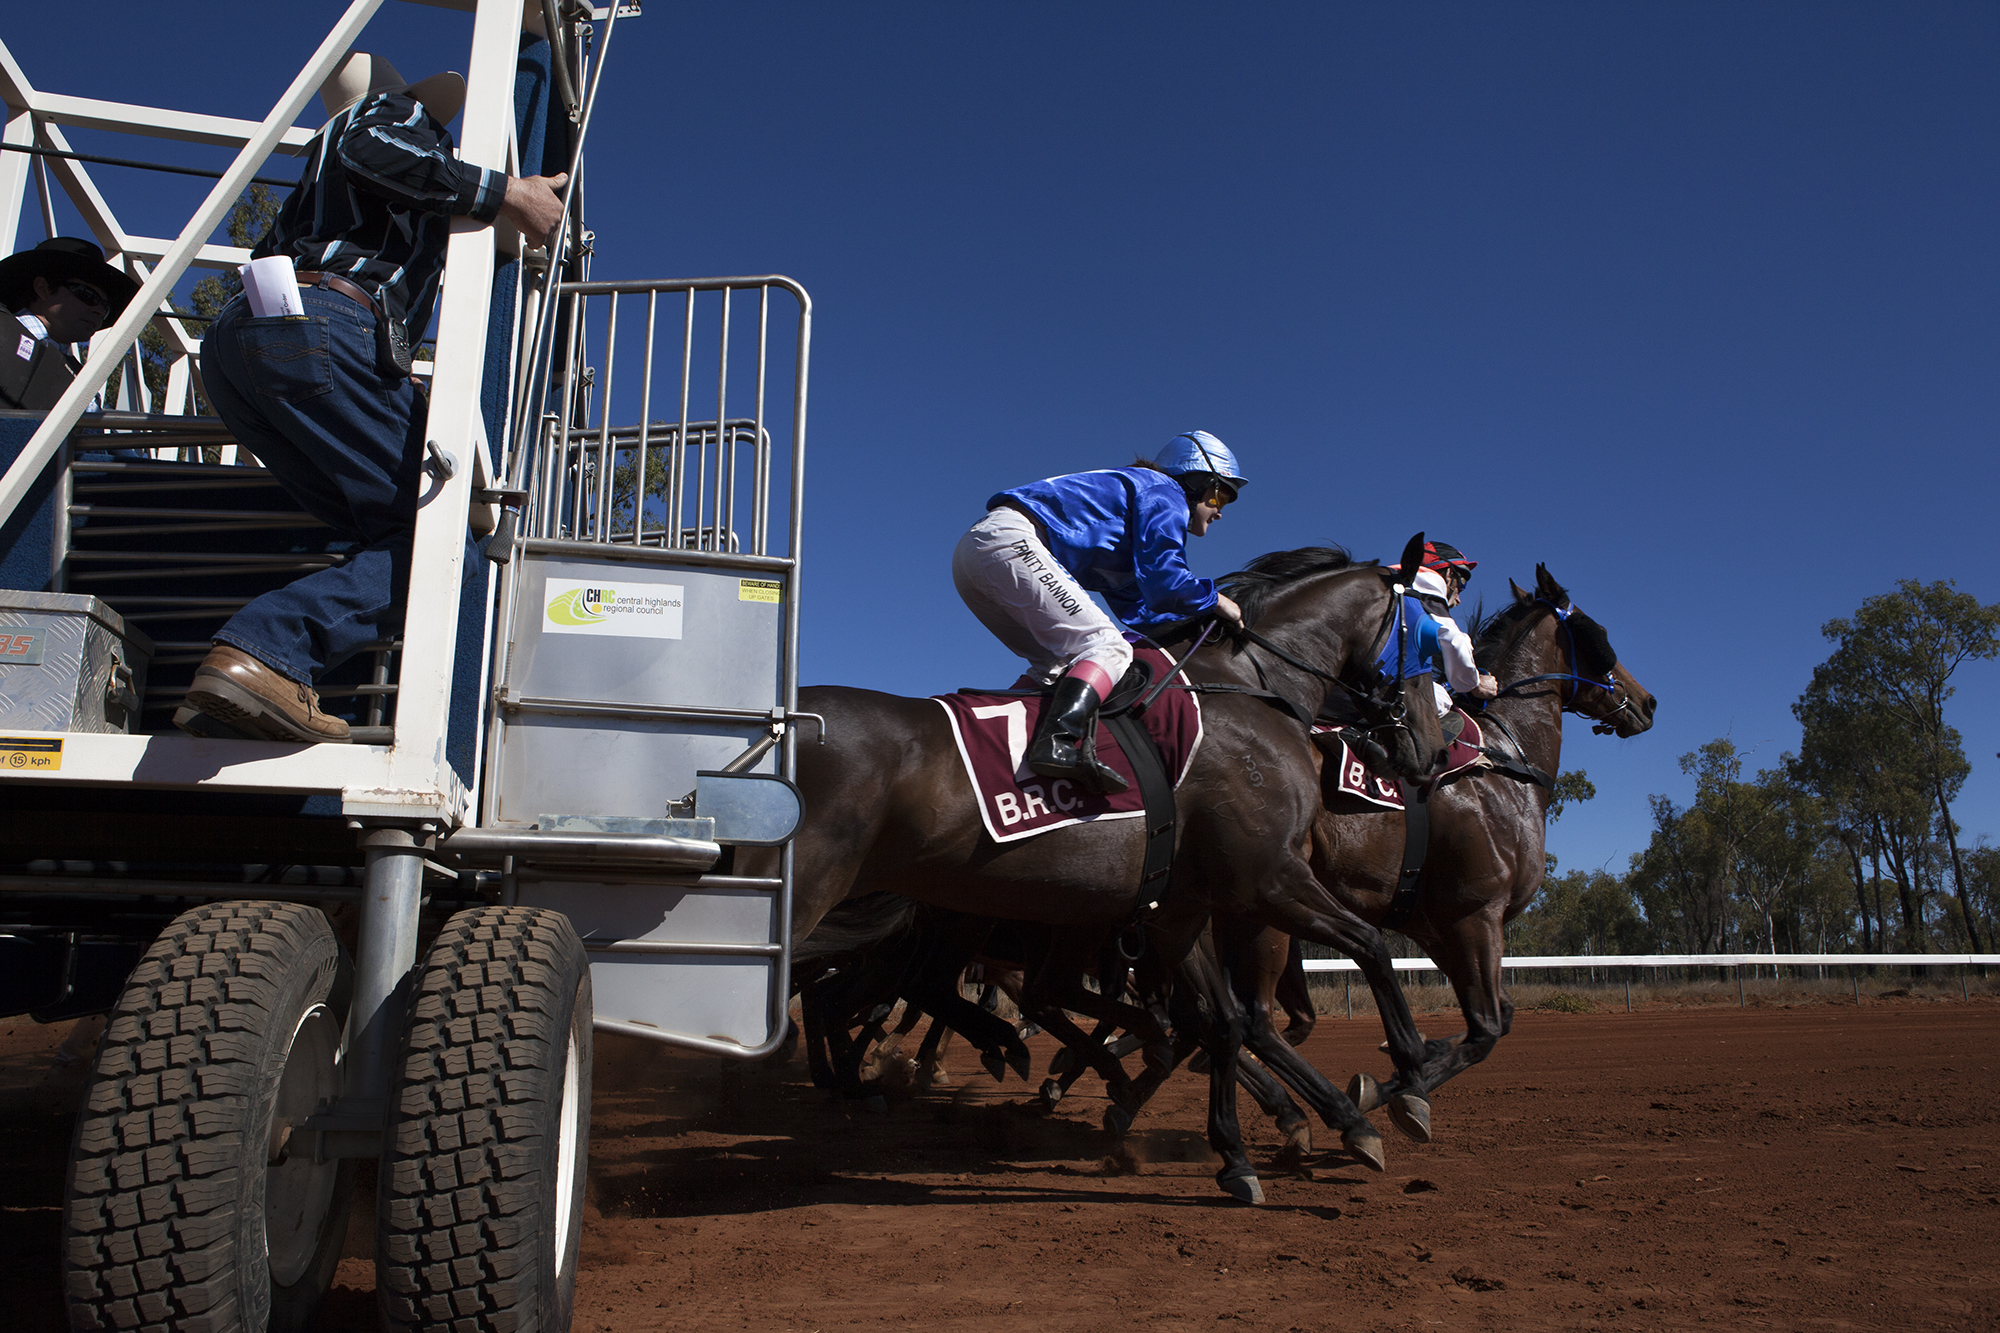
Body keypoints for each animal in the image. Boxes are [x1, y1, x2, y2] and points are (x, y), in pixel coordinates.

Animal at [760, 544, 1440, 1200]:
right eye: (1429, 632)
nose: (1428, 753)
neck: (1244, 690)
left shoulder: (1178, 910)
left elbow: (1219, 1021)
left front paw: (1238, 1151)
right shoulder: (1269, 877)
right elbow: (1370, 946)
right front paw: (1407, 1079)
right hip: (826, 900)